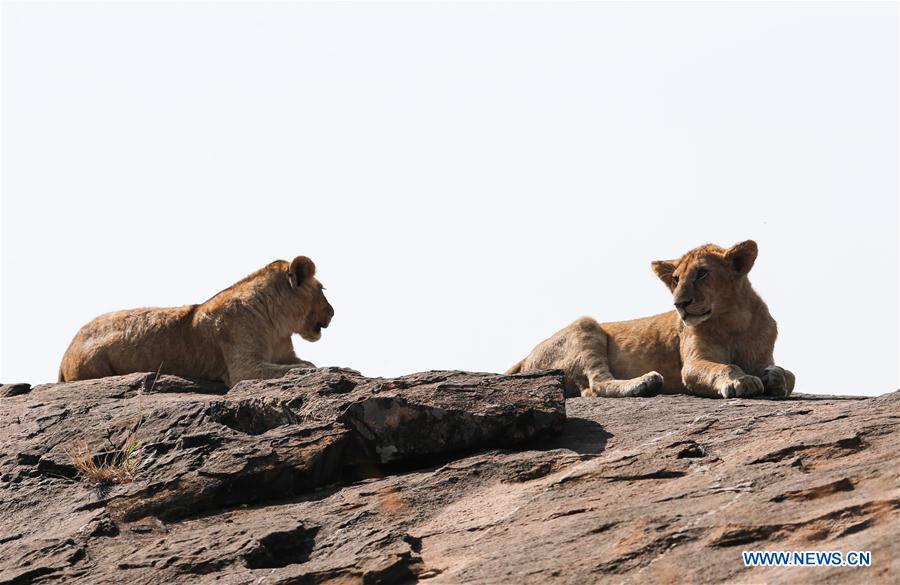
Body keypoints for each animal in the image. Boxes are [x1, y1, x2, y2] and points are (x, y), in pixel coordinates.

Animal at [59, 256, 334, 388]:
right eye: (323, 289)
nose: (333, 312)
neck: (279, 325)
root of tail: (66, 352)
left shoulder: (284, 355)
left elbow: (300, 363)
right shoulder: (244, 369)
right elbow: (304, 366)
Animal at [506, 240, 796, 400]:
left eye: (702, 273)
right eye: (676, 279)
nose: (679, 304)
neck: (734, 321)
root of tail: (525, 359)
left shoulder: (762, 356)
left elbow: (790, 375)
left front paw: (775, 377)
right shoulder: (692, 364)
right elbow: (724, 367)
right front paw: (742, 381)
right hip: (584, 326)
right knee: (595, 385)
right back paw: (646, 382)